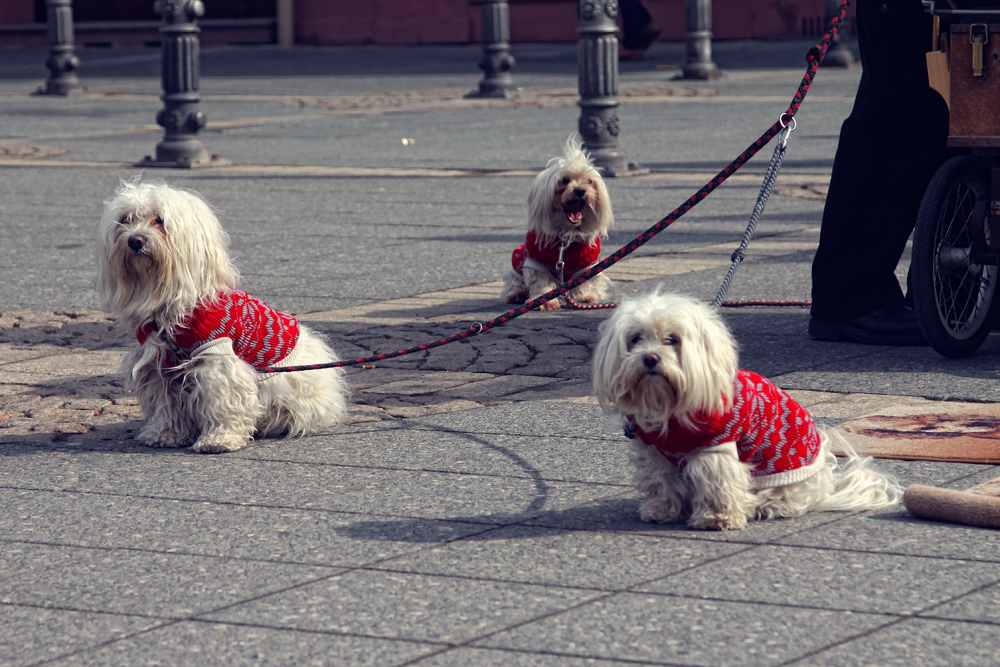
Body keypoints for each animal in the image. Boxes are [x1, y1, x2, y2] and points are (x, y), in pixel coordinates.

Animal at [95, 181, 350, 454]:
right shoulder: (159, 362)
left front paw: (219, 439)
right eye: (125, 219)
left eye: (159, 220)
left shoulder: (217, 357)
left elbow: (223, 401)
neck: (172, 304)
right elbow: (167, 404)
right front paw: (166, 434)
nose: (135, 240)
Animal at [504, 136, 612, 314]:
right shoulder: (537, 262)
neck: (567, 235)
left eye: (589, 181)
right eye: (564, 180)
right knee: (514, 283)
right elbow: (541, 283)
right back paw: (517, 294)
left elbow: (584, 282)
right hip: (517, 260)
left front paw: (584, 298)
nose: (580, 190)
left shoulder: (588, 264)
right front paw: (544, 302)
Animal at [588, 292, 904, 532]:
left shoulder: (716, 449)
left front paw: (718, 518)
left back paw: (764, 505)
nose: (650, 358)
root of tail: (825, 487)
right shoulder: (655, 452)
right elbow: (660, 482)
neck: (668, 407)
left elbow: (718, 484)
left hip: (784, 481)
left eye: (672, 339)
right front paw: (661, 510)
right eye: (635, 339)